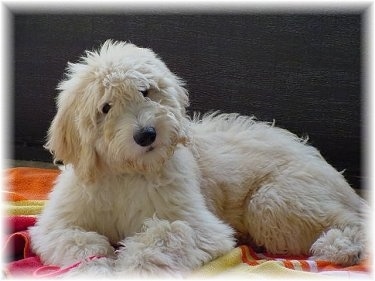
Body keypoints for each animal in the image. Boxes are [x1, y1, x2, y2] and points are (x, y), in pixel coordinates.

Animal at [29, 39, 370, 276]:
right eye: (106, 107)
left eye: (145, 91)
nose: (147, 134)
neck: (128, 173)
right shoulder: (58, 224)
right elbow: (79, 243)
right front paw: (98, 265)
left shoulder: (198, 225)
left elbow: (159, 239)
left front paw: (128, 263)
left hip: (275, 202)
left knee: (350, 221)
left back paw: (341, 248)